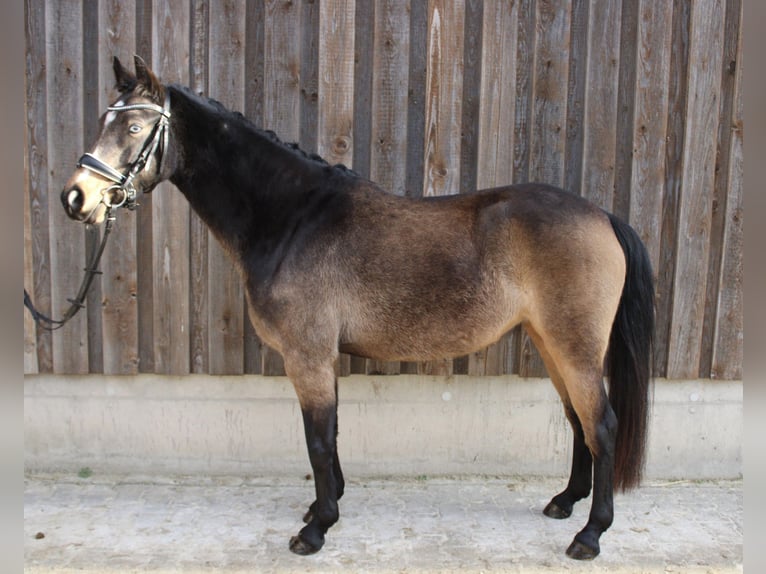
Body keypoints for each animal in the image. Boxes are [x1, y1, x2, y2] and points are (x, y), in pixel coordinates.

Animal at [60, 57, 656, 564]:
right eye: (103, 120)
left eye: (134, 128)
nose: (76, 197)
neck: (293, 218)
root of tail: (601, 215)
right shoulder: (321, 359)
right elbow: (331, 435)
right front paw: (327, 505)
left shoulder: (306, 357)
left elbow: (318, 440)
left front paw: (316, 528)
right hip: (552, 343)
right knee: (578, 422)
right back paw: (565, 502)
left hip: (574, 347)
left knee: (601, 425)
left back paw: (590, 534)